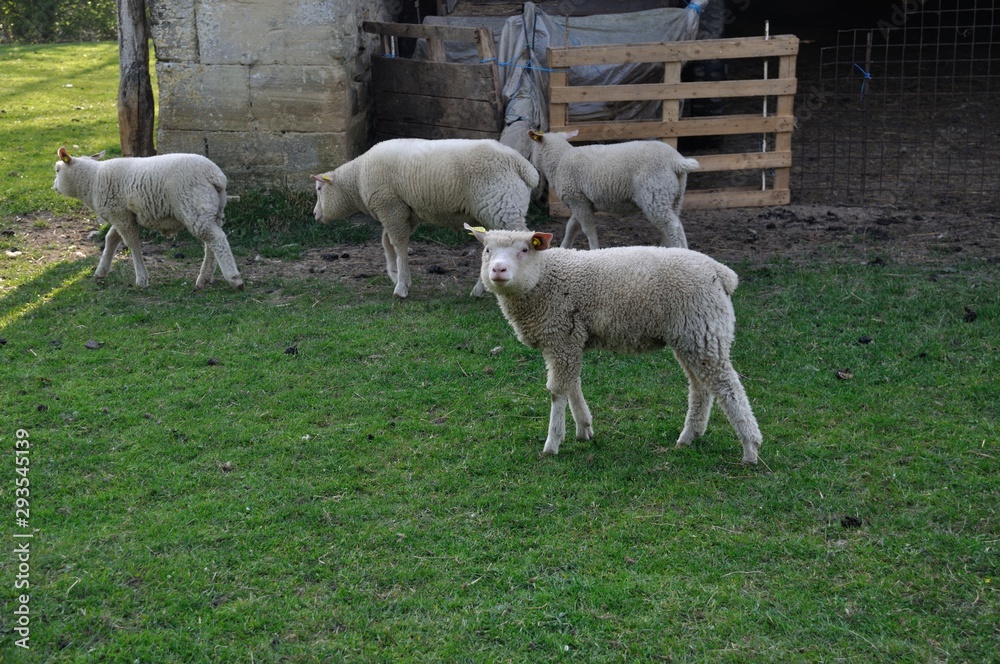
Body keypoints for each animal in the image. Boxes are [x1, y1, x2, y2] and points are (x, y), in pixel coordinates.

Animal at [52, 147, 243, 290]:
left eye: (57, 170)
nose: (53, 186)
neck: (91, 181)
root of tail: (216, 176)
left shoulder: (120, 216)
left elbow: (132, 245)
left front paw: (142, 279)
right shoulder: (123, 215)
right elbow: (111, 239)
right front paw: (101, 271)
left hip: (194, 206)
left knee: (216, 239)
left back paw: (234, 279)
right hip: (213, 210)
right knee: (211, 243)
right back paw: (204, 279)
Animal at [312, 138, 539, 298]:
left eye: (319, 189)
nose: (315, 214)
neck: (357, 178)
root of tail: (524, 166)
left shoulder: (390, 206)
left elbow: (399, 244)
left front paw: (401, 286)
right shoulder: (404, 211)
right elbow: (387, 242)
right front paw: (394, 274)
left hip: (503, 208)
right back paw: (480, 289)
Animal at [465, 223, 762, 465]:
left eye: (525, 249)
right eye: (487, 250)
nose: (498, 269)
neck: (543, 278)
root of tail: (720, 272)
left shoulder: (561, 337)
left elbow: (557, 391)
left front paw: (552, 443)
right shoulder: (567, 341)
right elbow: (573, 384)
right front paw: (584, 428)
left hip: (703, 330)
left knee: (728, 387)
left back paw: (750, 448)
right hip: (691, 336)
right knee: (700, 387)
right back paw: (689, 436)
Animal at [527, 129, 700, 251]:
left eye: (533, 148)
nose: (530, 160)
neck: (559, 162)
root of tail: (675, 161)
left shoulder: (577, 200)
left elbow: (588, 229)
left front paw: (594, 249)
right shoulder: (581, 201)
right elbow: (571, 227)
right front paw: (563, 248)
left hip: (654, 194)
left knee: (674, 227)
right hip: (674, 196)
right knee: (669, 227)